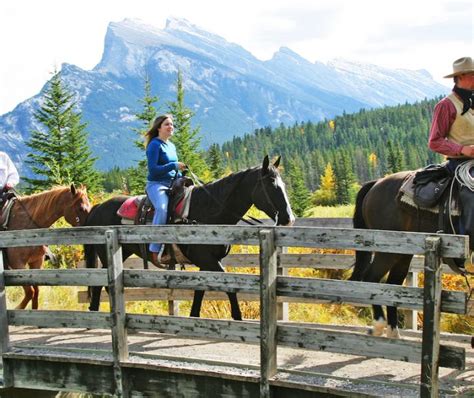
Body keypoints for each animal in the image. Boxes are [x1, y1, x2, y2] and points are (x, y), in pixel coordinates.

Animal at [83, 156, 294, 320]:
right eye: (272, 184)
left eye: (283, 183)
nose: (288, 218)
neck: (207, 212)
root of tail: (98, 207)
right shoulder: (208, 261)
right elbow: (229, 286)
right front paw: (238, 318)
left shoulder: (207, 263)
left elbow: (200, 291)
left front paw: (194, 317)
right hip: (107, 254)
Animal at [348, 171, 470, 338]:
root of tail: (376, 183)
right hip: (387, 252)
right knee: (371, 279)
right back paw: (379, 326)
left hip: (403, 255)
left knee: (393, 286)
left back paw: (393, 333)